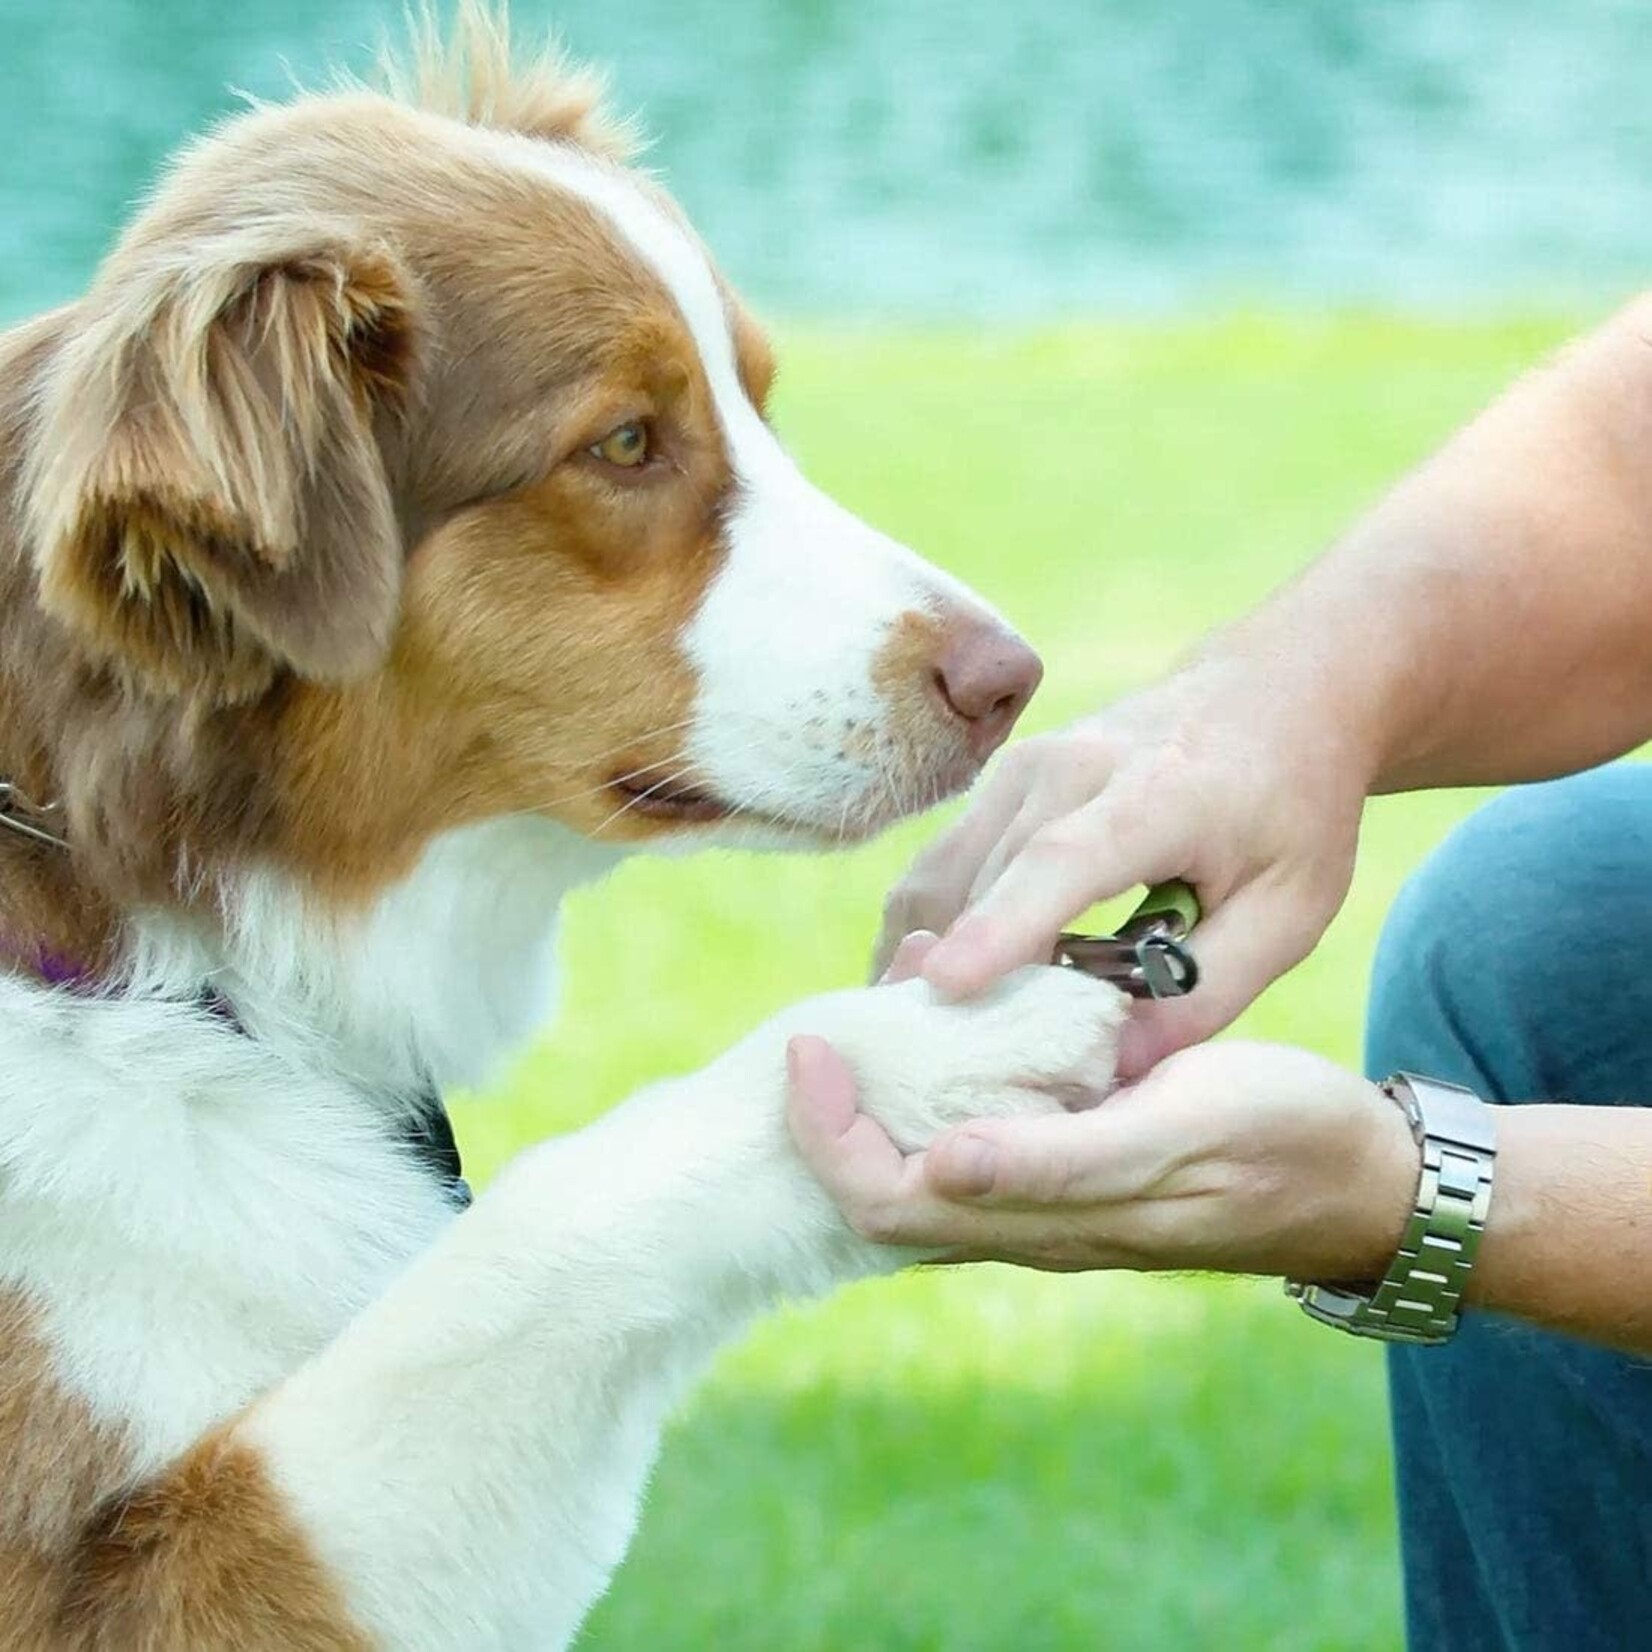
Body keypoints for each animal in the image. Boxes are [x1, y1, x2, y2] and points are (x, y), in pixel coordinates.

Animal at [0, 6, 1123, 1645]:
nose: (1010, 681)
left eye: (756, 400)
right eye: (626, 443)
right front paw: (924, 1048)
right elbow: (545, 1215)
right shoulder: (154, 1586)